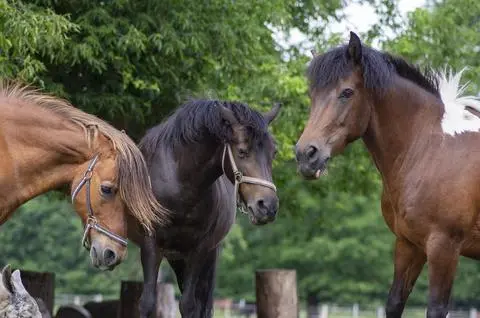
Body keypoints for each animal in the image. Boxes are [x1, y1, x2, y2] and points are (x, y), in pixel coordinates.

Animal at [129, 99, 282, 316]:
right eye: (242, 151)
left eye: (273, 153)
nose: (268, 206)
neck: (179, 183)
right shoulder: (151, 244)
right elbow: (147, 302)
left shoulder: (199, 249)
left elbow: (188, 305)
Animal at [294, 31, 480, 316]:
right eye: (312, 95)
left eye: (347, 92)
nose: (306, 155)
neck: (430, 148)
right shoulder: (408, 244)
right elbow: (394, 303)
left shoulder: (444, 247)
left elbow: (436, 308)